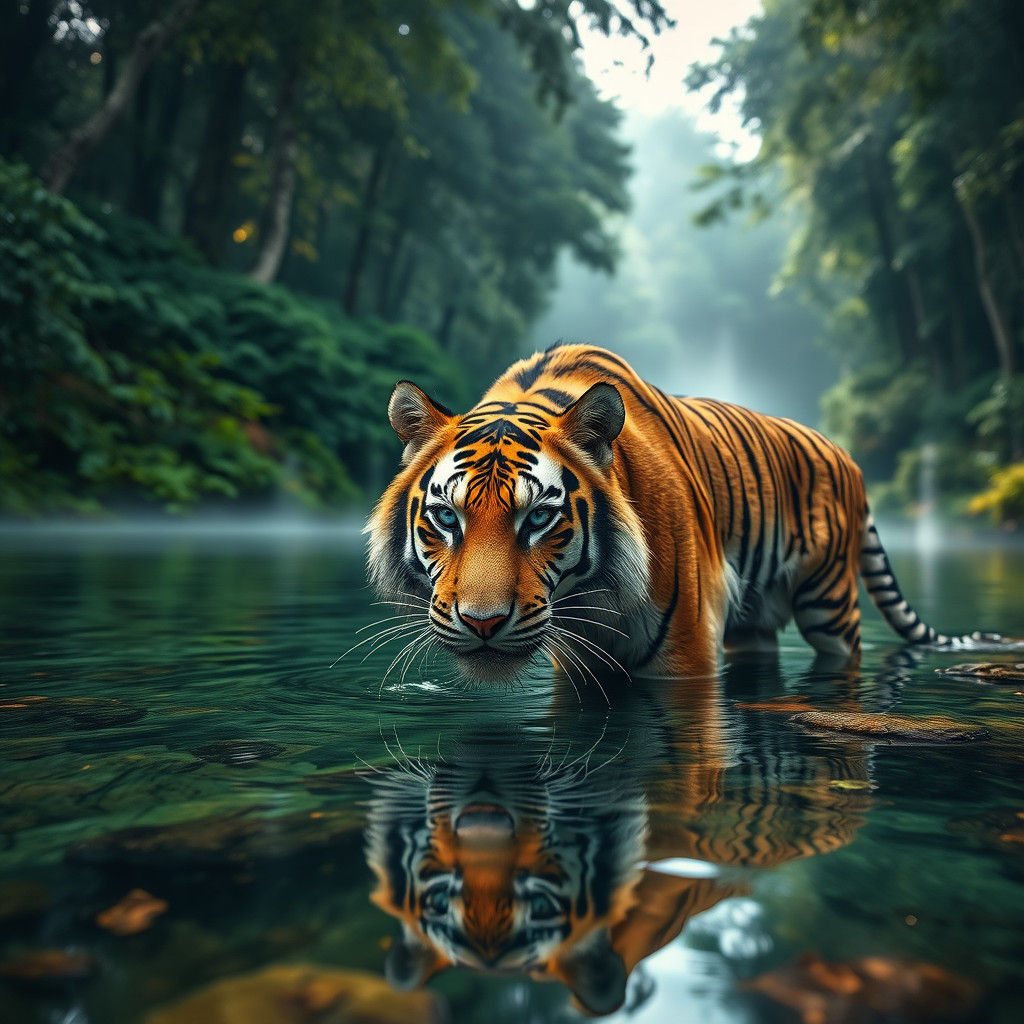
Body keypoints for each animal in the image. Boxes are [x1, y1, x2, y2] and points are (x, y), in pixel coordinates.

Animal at [366, 343, 1017, 683]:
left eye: (538, 521)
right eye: (448, 518)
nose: (482, 624)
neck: (591, 599)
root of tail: (847, 456)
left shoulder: (685, 652)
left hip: (830, 603)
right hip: (754, 622)